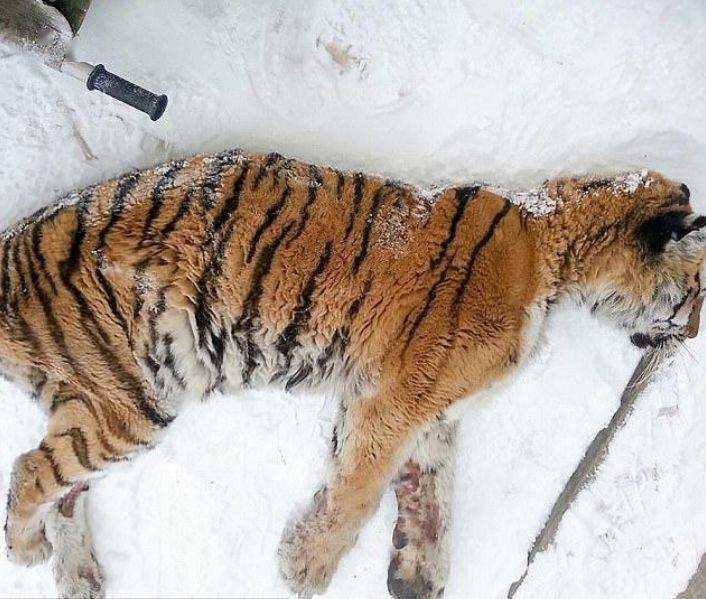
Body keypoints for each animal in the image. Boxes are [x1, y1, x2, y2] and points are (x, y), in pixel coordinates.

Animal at [1, 147, 704, 599]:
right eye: (698, 293)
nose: (694, 337)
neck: (552, 254)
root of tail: (9, 247)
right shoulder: (397, 395)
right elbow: (359, 488)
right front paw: (304, 567)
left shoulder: (431, 404)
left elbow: (433, 483)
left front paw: (417, 573)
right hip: (134, 396)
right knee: (31, 469)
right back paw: (25, 550)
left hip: (99, 397)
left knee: (63, 484)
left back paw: (79, 579)